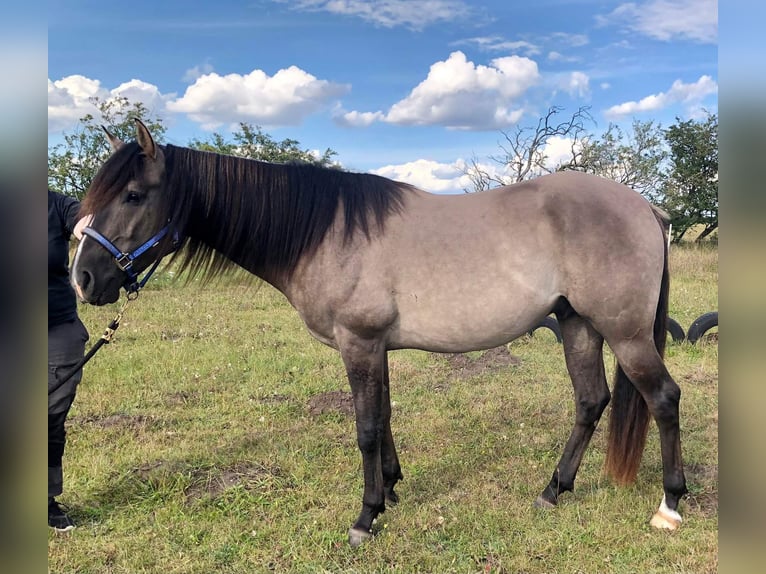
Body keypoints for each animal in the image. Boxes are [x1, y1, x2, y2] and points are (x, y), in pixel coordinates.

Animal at [72, 121, 688, 548]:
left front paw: (366, 517)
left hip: (626, 334)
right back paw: (552, 491)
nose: (83, 279)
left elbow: (366, 428)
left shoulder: (359, 343)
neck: (325, 231)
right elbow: (386, 418)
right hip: (578, 325)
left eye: (132, 195)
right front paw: (390, 489)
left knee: (663, 398)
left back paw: (669, 505)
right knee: (591, 401)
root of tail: (646, 206)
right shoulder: (376, 348)